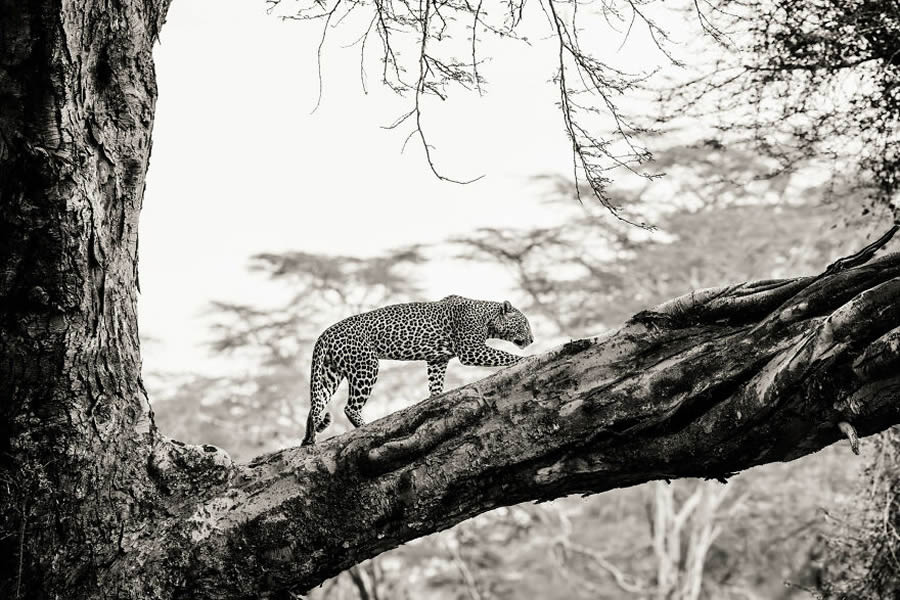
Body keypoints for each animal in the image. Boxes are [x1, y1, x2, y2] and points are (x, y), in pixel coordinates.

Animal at [302, 296, 532, 446]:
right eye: (524, 324)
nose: (532, 339)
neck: (488, 317)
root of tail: (325, 333)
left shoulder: (437, 360)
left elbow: (436, 385)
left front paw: (436, 399)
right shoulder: (471, 350)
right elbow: (505, 355)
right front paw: (528, 358)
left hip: (330, 373)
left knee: (315, 406)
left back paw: (308, 440)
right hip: (366, 366)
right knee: (349, 407)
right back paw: (363, 427)